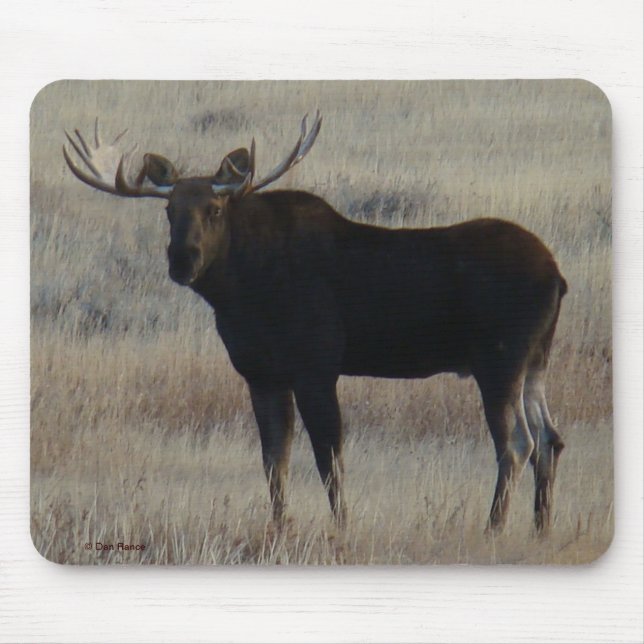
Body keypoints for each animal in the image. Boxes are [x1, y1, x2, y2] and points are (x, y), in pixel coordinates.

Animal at [63, 113, 567, 534]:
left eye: (215, 210)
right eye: (169, 211)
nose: (181, 260)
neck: (241, 292)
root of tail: (558, 278)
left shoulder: (316, 367)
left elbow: (329, 458)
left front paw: (342, 527)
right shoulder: (262, 374)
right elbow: (274, 459)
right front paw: (280, 527)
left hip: (499, 361)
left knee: (517, 443)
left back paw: (493, 528)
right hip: (535, 362)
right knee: (550, 438)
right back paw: (540, 529)